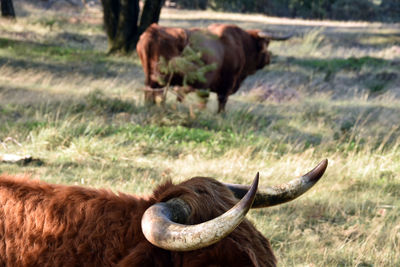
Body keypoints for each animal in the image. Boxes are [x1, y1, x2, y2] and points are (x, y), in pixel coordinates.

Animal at [137, 22, 290, 112]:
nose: (269, 58)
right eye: (267, 45)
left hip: (150, 79)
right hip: (160, 78)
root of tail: (153, 30)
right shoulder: (225, 84)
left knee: (149, 94)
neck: (240, 44)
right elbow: (221, 102)